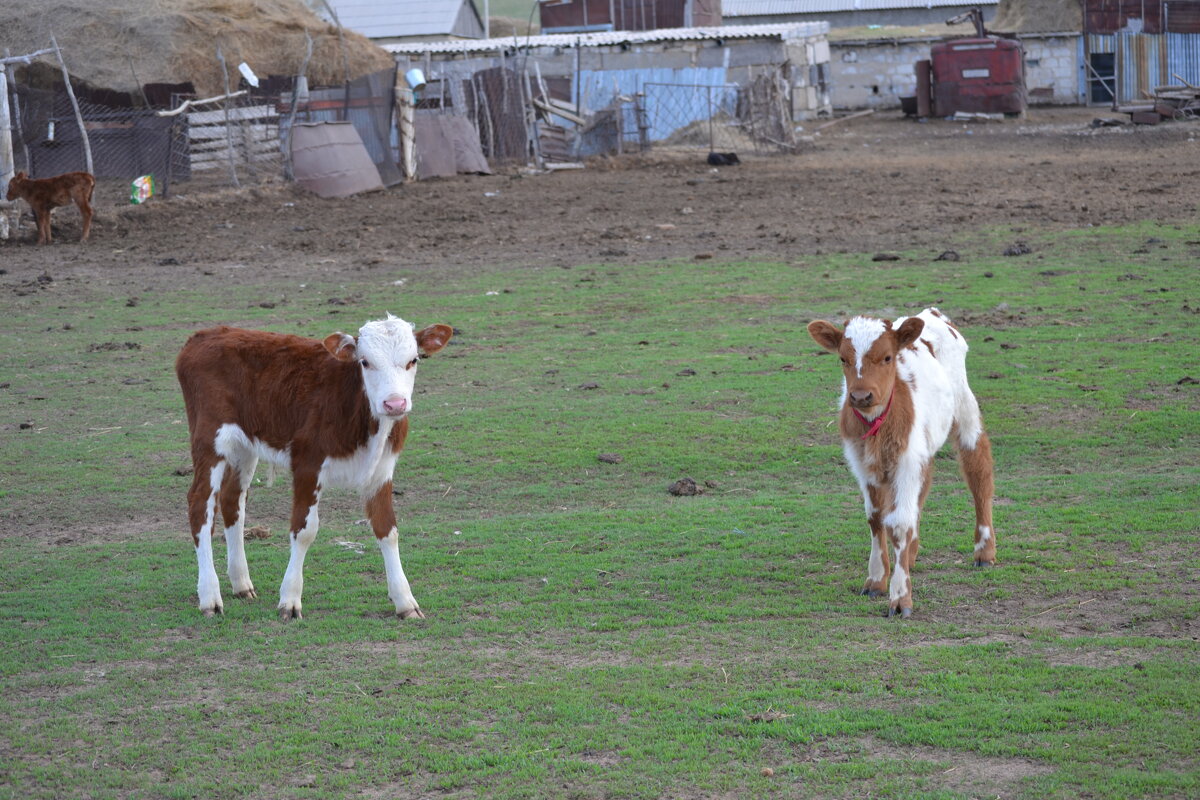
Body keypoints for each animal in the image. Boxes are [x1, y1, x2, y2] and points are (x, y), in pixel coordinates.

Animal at [177, 316, 453, 623]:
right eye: (365, 362)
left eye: (413, 359)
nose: (394, 403)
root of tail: (204, 335)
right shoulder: (307, 464)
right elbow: (304, 530)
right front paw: (290, 600)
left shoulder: (382, 470)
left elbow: (387, 529)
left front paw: (405, 601)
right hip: (209, 437)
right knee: (200, 504)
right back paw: (210, 597)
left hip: (244, 446)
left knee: (232, 500)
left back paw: (241, 584)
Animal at [811, 309, 998, 618]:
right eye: (843, 359)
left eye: (888, 357)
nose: (860, 396)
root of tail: (931, 313)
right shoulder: (862, 463)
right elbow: (876, 517)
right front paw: (876, 579)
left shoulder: (907, 461)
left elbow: (898, 523)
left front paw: (900, 598)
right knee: (922, 491)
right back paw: (910, 554)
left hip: (965, 407)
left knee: (978, 471)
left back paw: (984, 550)